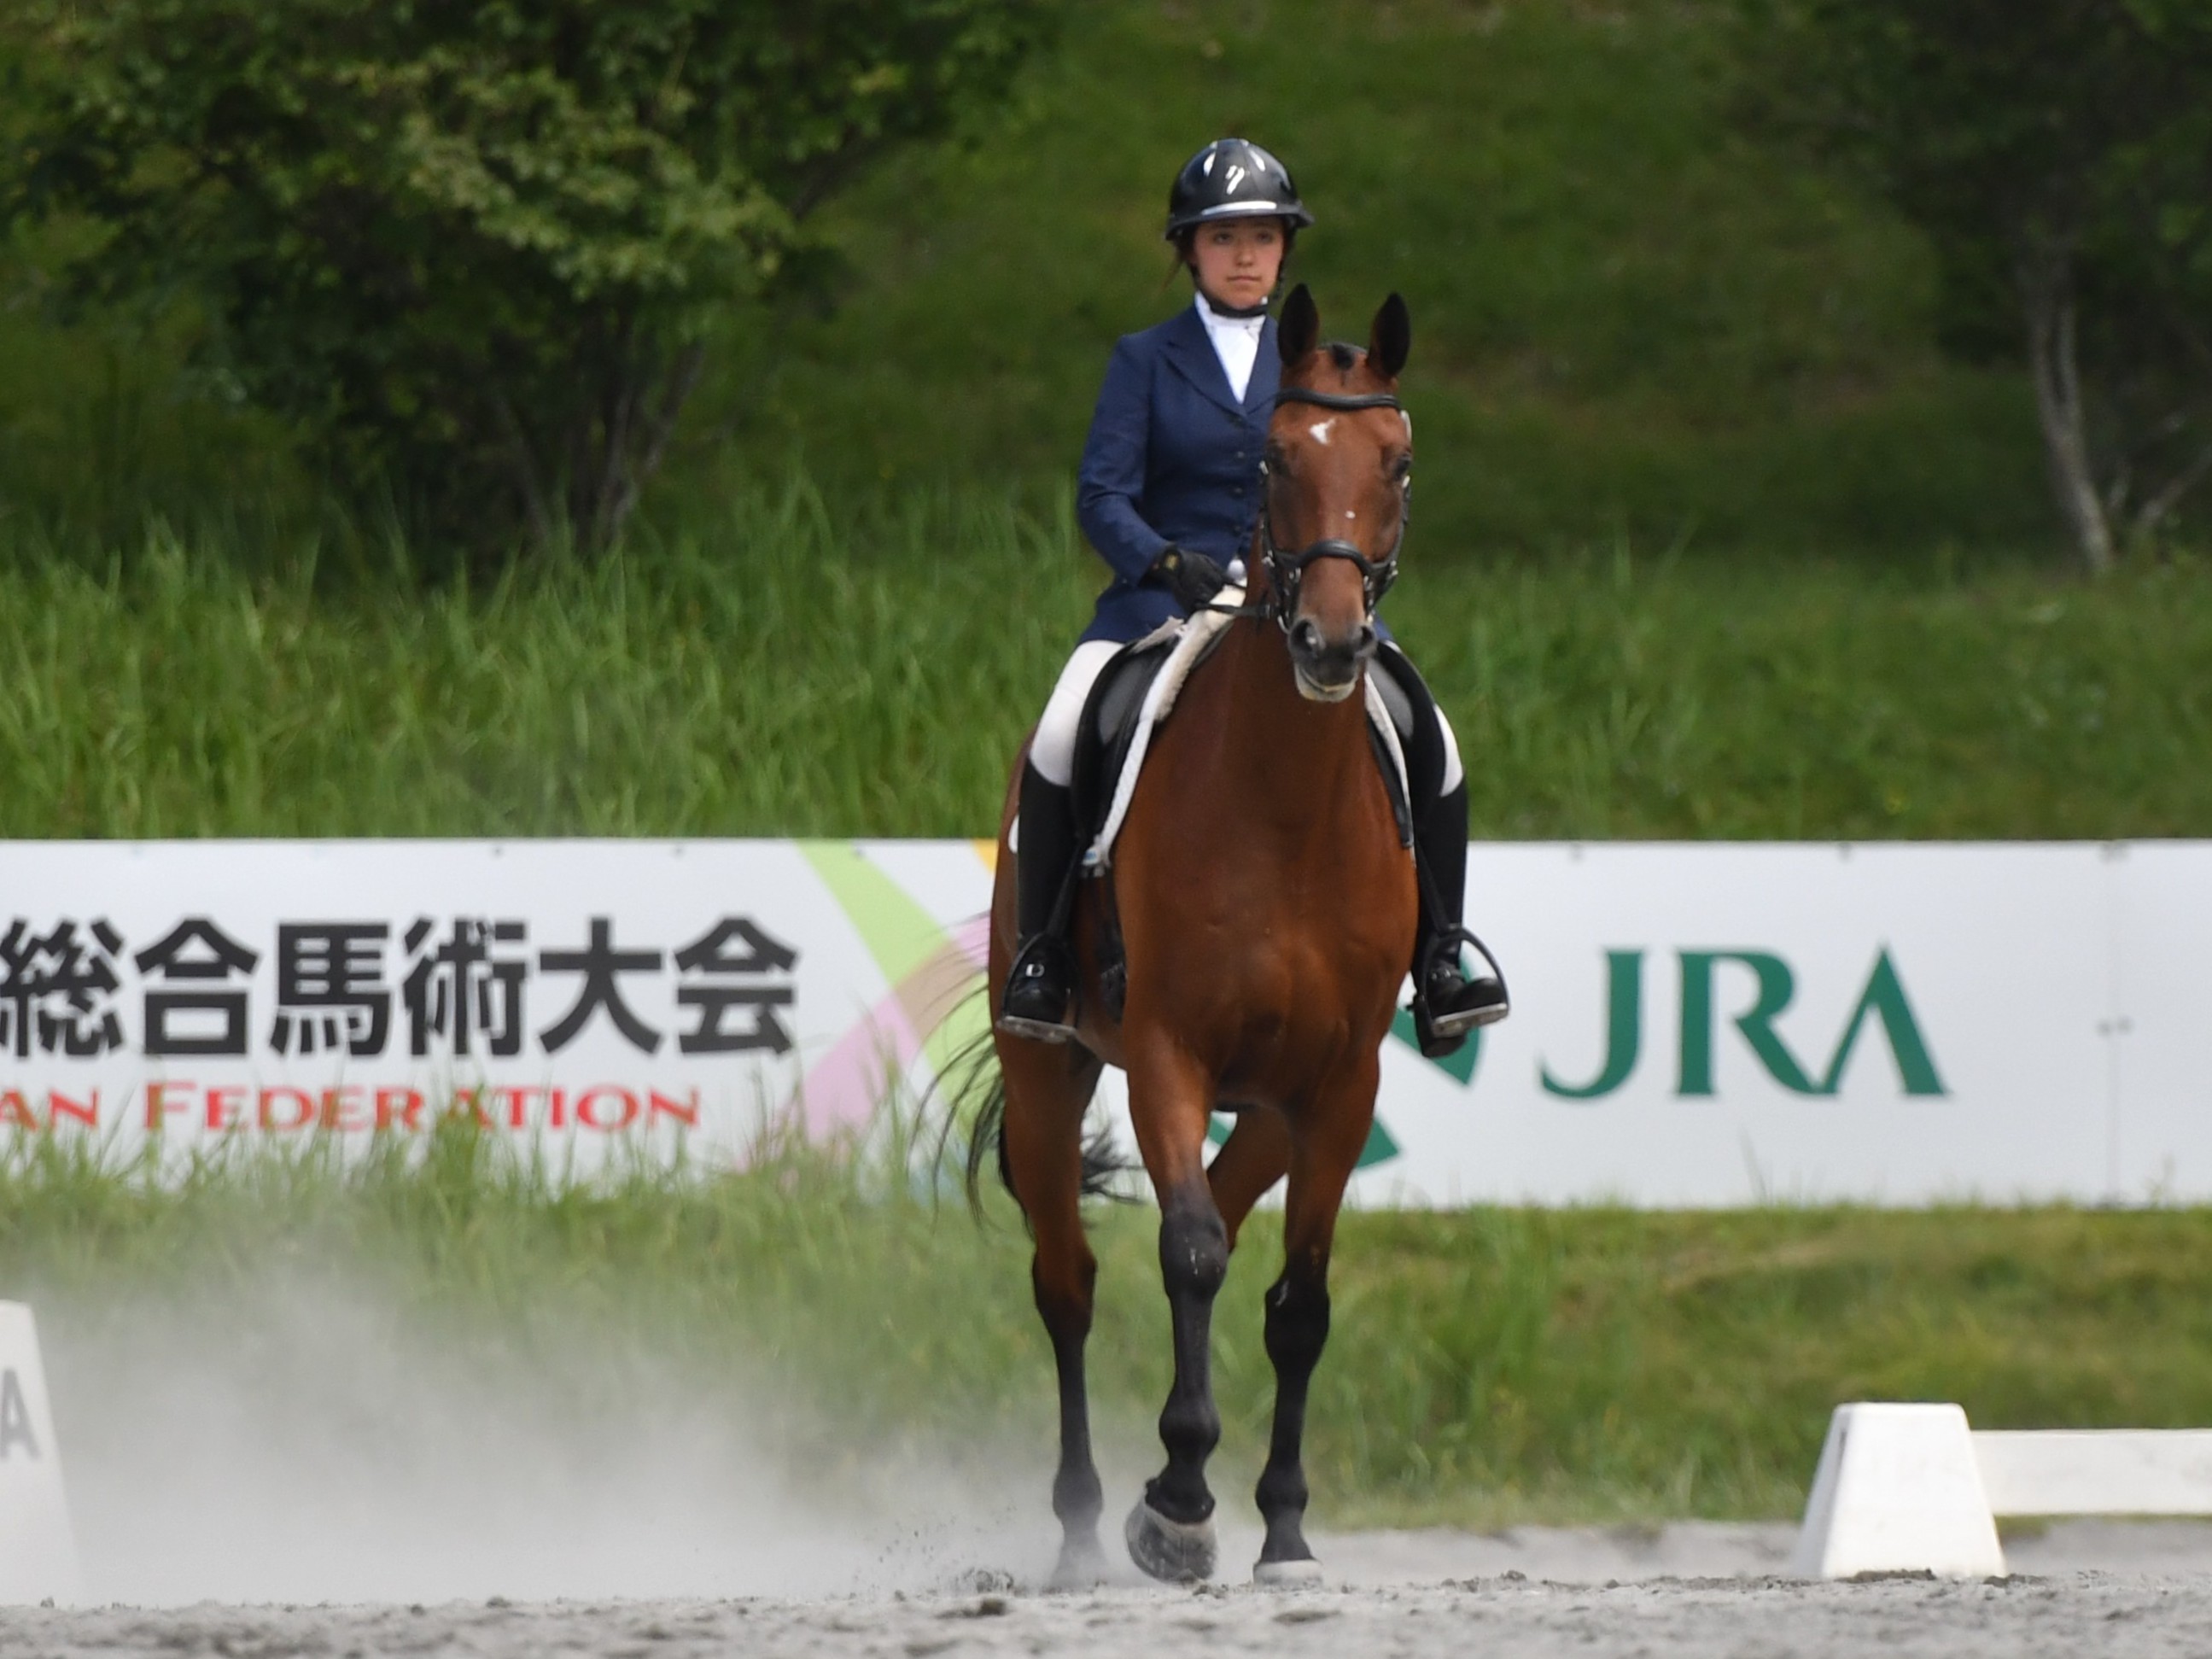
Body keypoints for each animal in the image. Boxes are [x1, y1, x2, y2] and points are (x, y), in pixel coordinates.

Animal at [977, 284, 1422, 1588]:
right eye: (1274, 459)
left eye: (1397, 462)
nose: (1330, 642)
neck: (1284, 806)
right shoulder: (1166, 1052)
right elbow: (1184, 1253)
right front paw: (1174, 1504)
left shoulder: (1340, 1083)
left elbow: (1296, 1301)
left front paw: (1281, 1526)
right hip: (1047, 1064)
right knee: (1069, 1280)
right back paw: (1083, 1523)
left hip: (1272, 1105)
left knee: (1221, 1222)